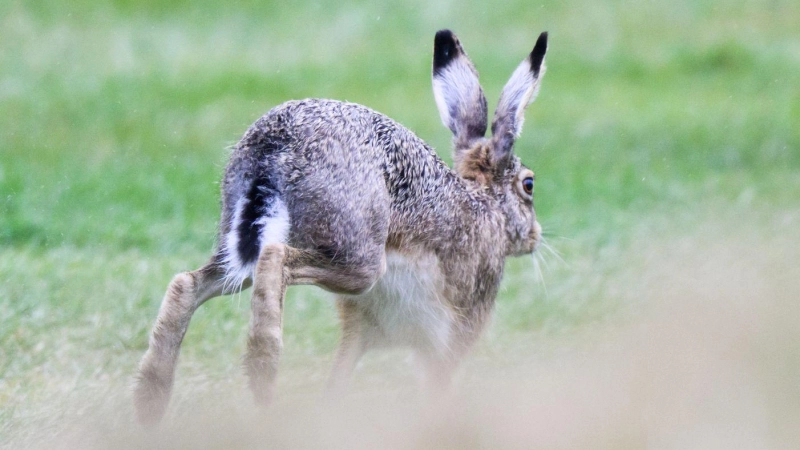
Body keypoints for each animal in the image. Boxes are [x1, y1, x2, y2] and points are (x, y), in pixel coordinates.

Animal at [133, 29, 548, 424]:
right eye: (529, 184)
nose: (535, 236)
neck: (485, 204)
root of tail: (274, 150)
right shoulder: (454, 332)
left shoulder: (361, 333)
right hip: (359, 260)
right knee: (277, 260)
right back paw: (263, 371)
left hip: (242, 242)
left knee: (187, 283)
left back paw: (150, 397)